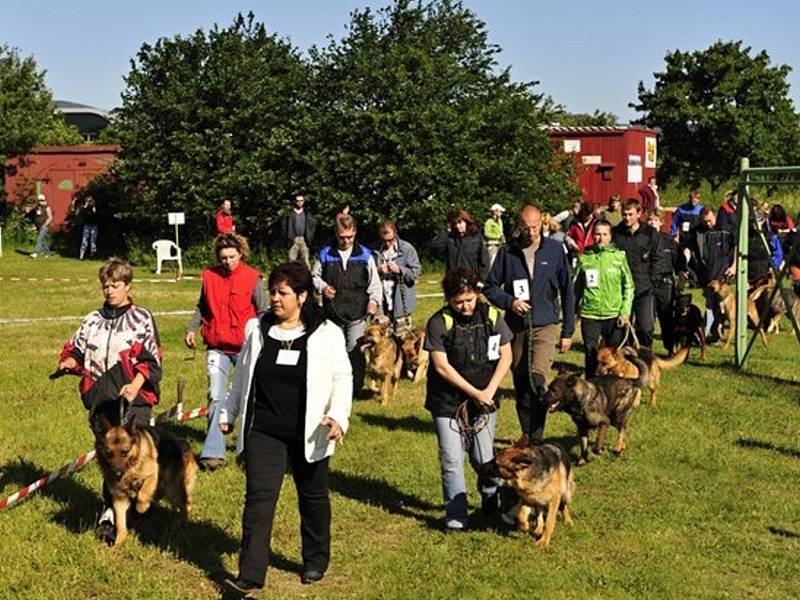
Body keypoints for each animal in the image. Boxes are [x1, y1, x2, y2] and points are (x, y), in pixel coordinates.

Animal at [94, 414, 198, 548]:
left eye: (124, 452)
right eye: (109, 453)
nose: (117, 474)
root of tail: (185, 444)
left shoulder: (152, 474)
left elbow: (142, 495)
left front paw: (142, 507)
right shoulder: (119, 499)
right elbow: (120, 525)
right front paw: (118, 543)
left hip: (172, 491)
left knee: (186, 505)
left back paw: (180, 524)